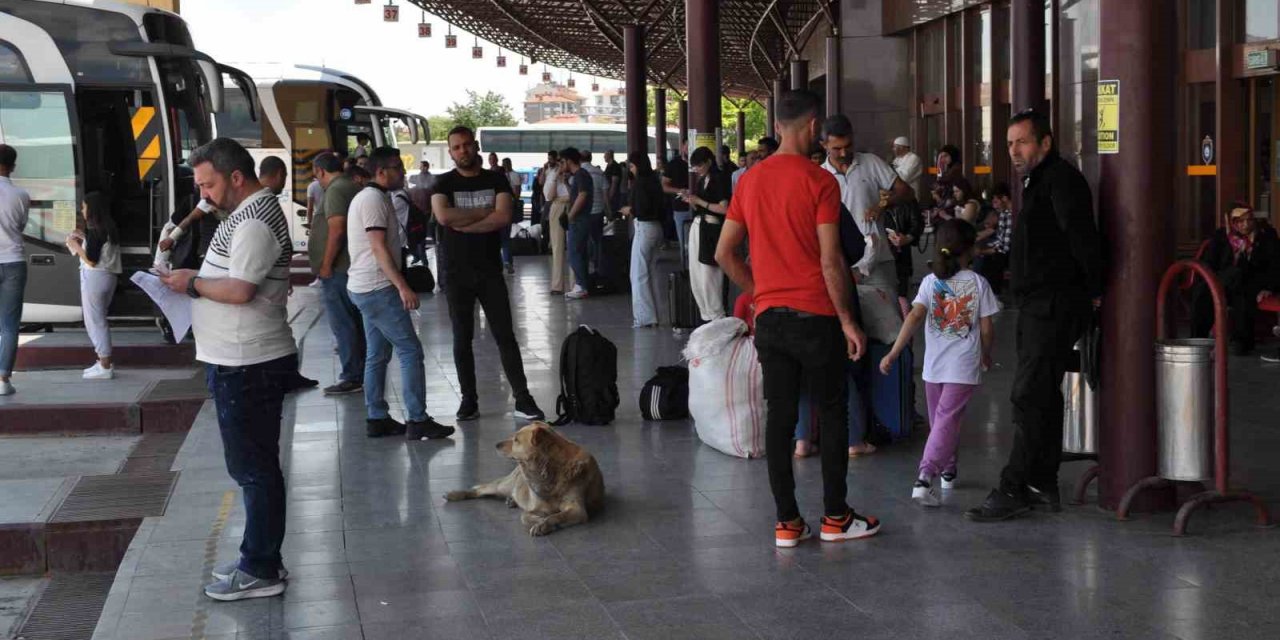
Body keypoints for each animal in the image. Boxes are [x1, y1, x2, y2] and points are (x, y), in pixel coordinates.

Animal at [445, 424, 604, 535]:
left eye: (516, 440)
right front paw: (540, 521)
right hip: (502, 486)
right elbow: (526, 516)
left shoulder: (577, 510)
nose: (496, 445)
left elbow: (555, 516)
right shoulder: (535, 508)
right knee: (479, 489)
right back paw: (455, 494)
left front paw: (545, 523)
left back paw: (512, 501)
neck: (550, 469)